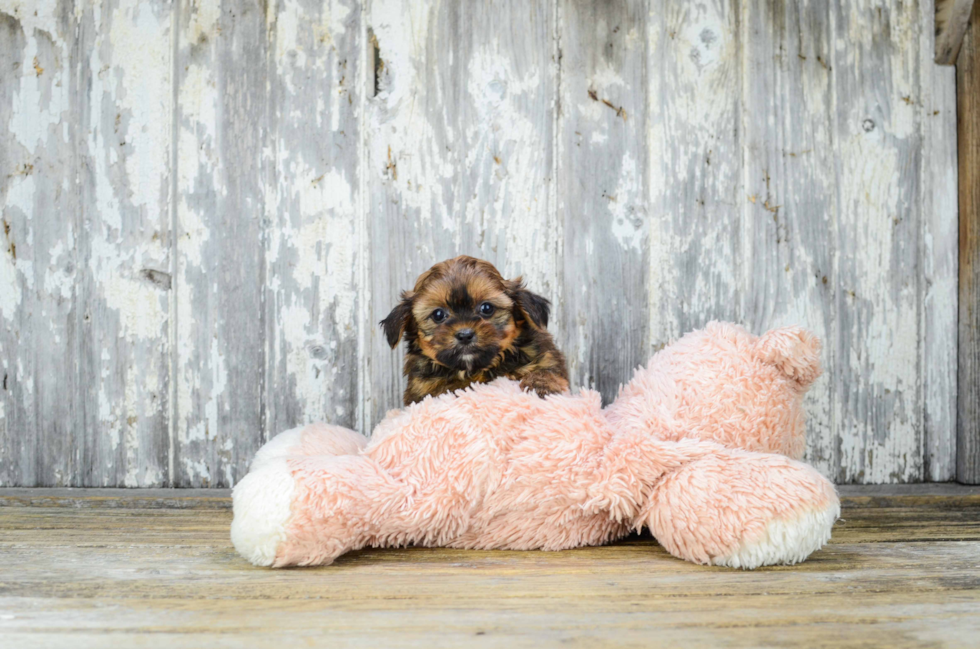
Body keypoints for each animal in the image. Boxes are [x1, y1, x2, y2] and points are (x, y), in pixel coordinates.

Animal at [380, 254, 572, 402]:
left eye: (486, 308)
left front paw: (541, 386)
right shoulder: (422, 389)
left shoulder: (546, 357)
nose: (465, 335)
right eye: (438, 315)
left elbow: (548, 371)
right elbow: (446, 390)